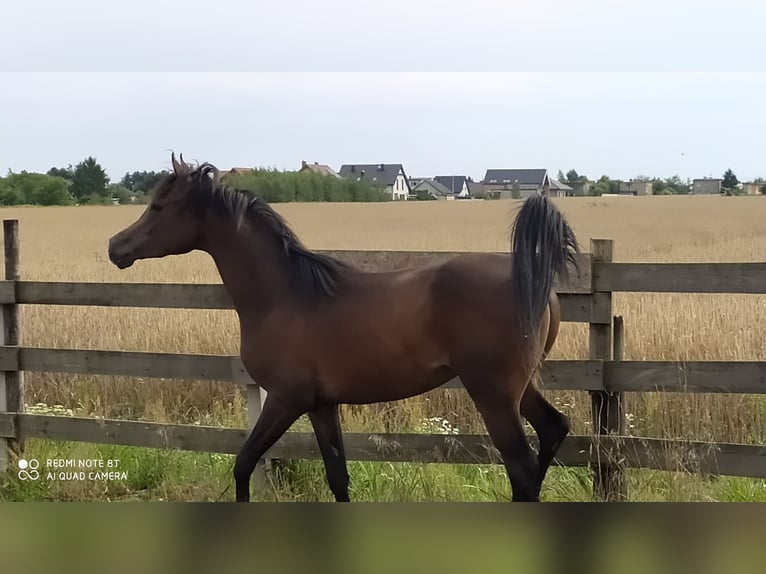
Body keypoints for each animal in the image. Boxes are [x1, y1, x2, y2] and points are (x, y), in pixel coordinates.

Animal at [108, 153, 580, 502]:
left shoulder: (286, 399)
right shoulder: (321, 405)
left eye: (159, 206)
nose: (115, 247)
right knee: (552, 431)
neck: (285, 294)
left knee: (522, 470)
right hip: (520, 387)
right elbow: (337, 477)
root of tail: (533, 278)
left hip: (494, 394)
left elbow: (243, 463)